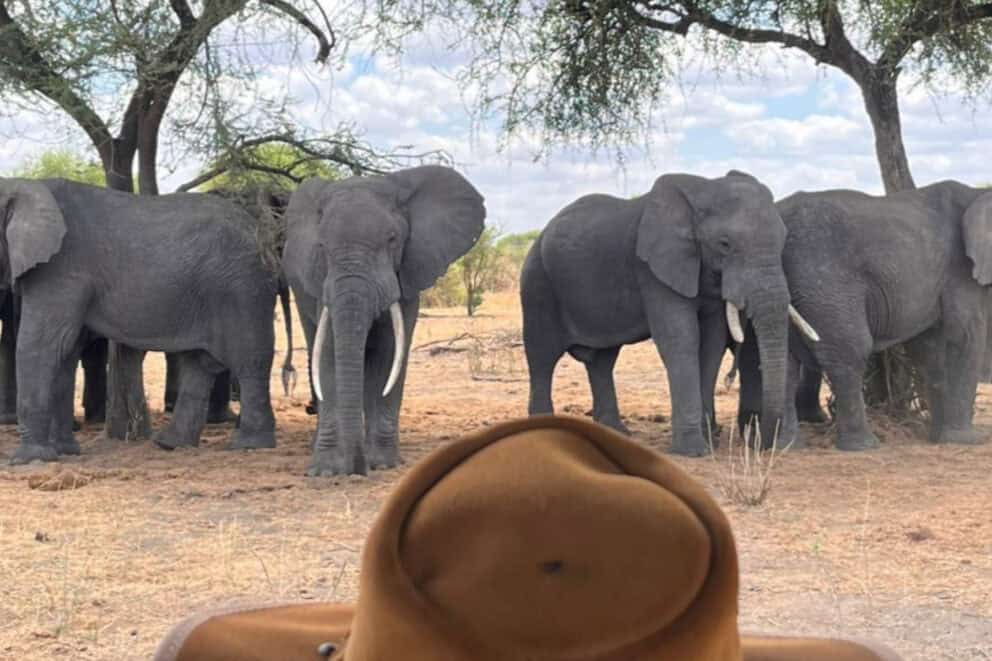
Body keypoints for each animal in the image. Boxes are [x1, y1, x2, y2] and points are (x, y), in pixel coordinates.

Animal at [0, 177, 287, 464]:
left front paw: (29, 460)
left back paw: (249, 445)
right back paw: (171, 444)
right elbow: (66, 350)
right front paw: (65, 451)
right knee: (200, 362)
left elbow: (42, 345)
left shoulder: (60, 268)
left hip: (242, 287)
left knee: (248, 359)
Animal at [283, 165, 485, 476]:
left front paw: (382, 463)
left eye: (392, 239)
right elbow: (328, 355)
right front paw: (326, 471)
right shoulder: (322, 284)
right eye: (322, 246)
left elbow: (389, 356)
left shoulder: (407, 275)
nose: (356, 468)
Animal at [520, 170, 820, 456]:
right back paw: (541, 430)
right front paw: (693, 451)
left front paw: (709, 442)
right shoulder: (652, 270)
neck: (702, 191)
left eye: (782, 242)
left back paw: (616, 432)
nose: (763, 445)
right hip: (537, 283)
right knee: (542, 357)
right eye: (724, 244)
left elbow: (711, 344)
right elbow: (681, 339)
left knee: (602, 361)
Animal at [737, 180, 992, 450]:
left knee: (787, 362)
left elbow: (928, 347)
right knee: (849, 351)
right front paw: (965, 440)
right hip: (824, 281)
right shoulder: (961, 270)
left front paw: (936, 437)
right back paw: (863, 445)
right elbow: (964, 336)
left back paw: (785, 446)